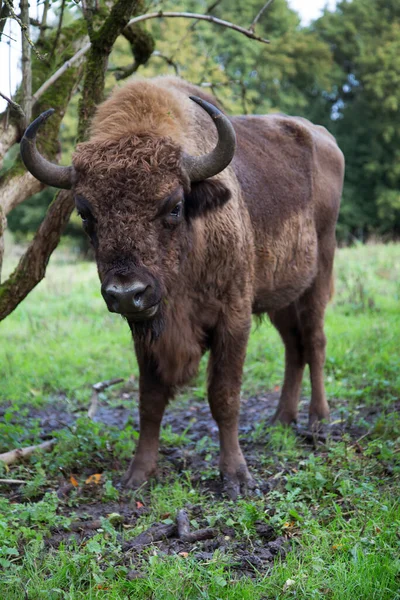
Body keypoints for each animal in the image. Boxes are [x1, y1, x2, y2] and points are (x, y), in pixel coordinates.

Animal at [20, 76, 344, 496]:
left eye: (174, 206)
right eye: (86, 213)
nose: (127, 293)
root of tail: (324, 139)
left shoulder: (233, 317)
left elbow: (224, 395)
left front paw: (237, 476)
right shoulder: (146, 330)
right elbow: (150, 400)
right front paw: (138, 474)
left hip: (320, 272)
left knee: (315, 342)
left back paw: (318, 422)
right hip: (280, 297)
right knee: (295, 346)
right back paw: (280, 420)